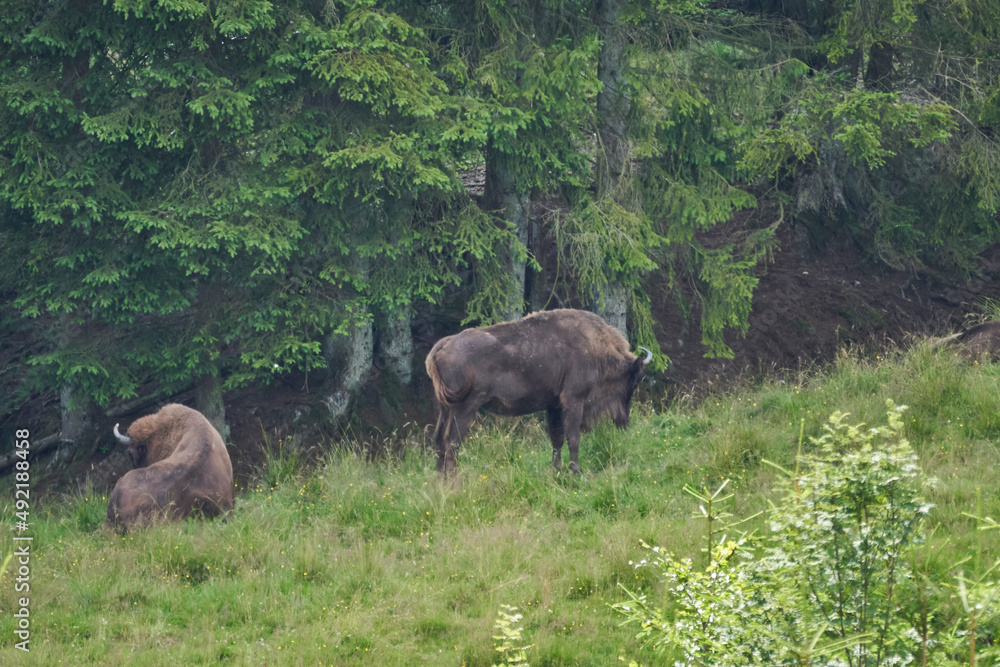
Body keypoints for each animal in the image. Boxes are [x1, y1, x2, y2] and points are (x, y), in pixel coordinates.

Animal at [426, 310, 652, 474]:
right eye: (633, 381)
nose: (624, 421)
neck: (594, 345)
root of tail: (441, 346)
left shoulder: (554, 405)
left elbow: (556, 439)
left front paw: (556, 470)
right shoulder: (573, 400)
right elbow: (573, 437)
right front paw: (576, 471)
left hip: (444, 408)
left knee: (438, 441)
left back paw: (440, 483)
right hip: (464, 408)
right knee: (452, 442)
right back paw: (455, 482)